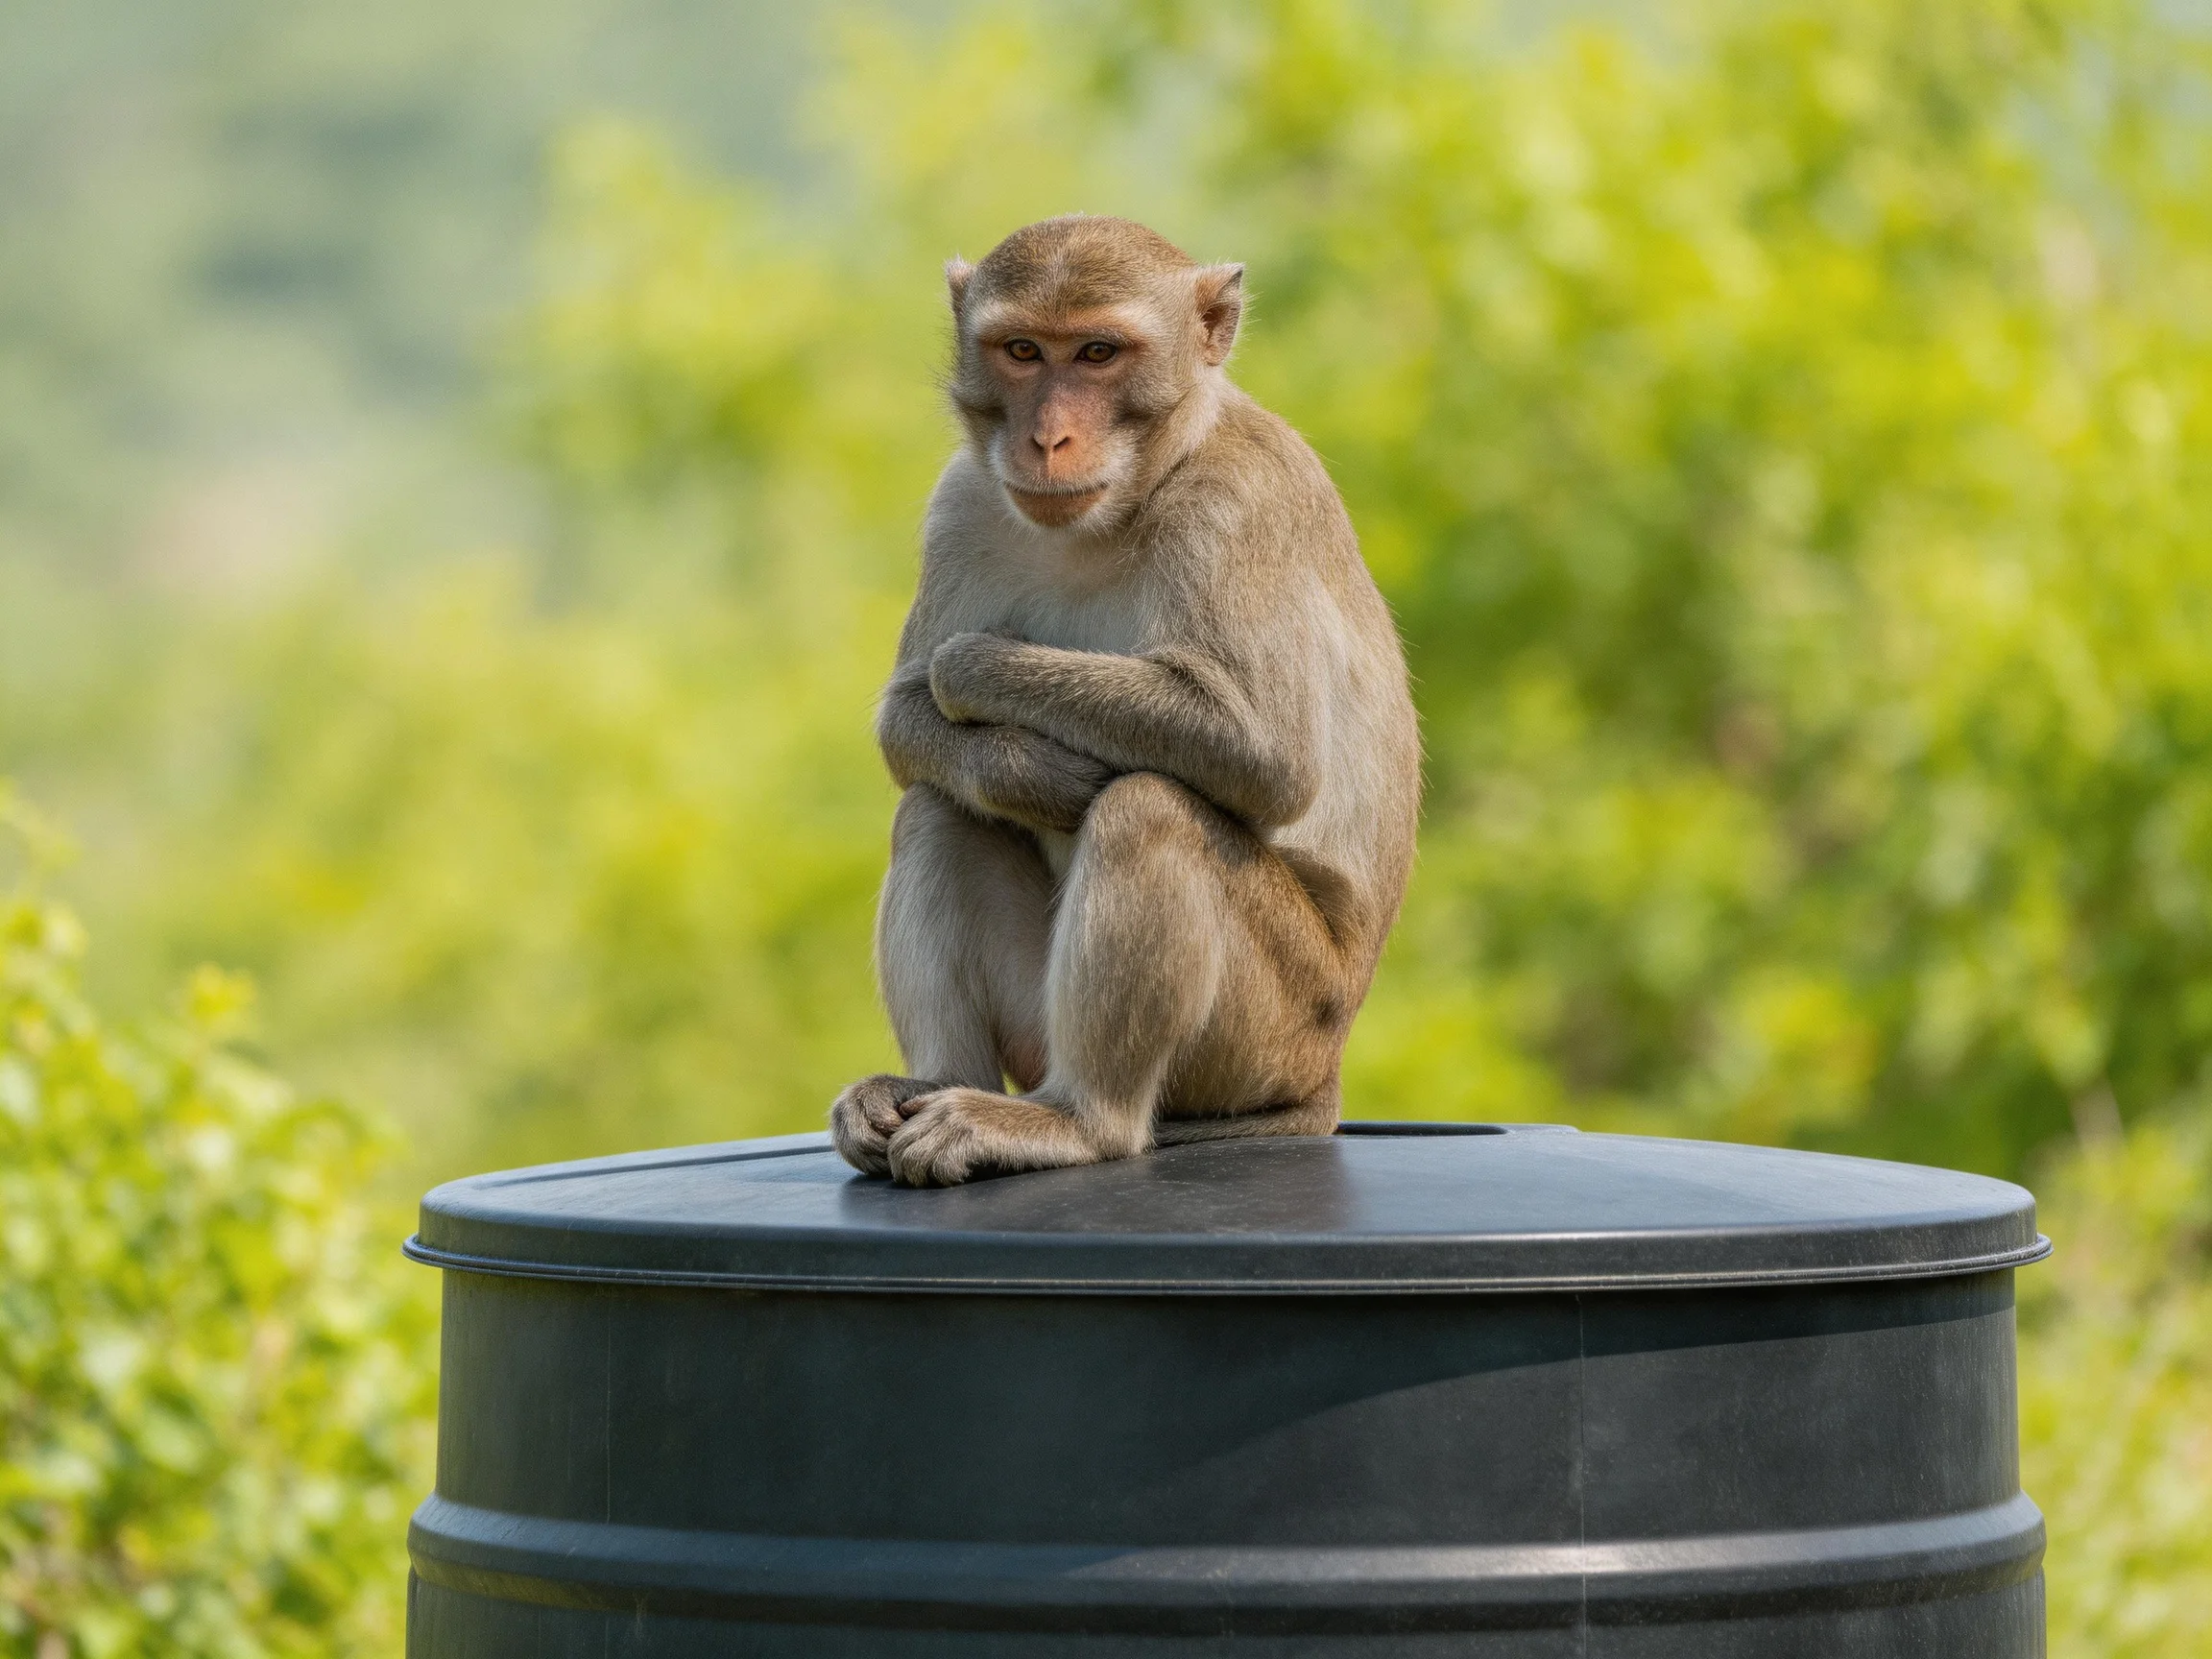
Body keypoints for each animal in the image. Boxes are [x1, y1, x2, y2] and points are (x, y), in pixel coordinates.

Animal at [829, 215, 1420, 1188]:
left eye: (1099, 353)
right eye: (1023, 351)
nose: (1047, 441)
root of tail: (1323, 1074)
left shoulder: (1236, 507)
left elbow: (1261, 753)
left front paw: (978, 669)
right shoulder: (962, 503)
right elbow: (905, 725)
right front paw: (1024, 768)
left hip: (1270, 1032)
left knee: (1151, 808)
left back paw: (1079, 1121)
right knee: (938, 806)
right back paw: (932, 1086)